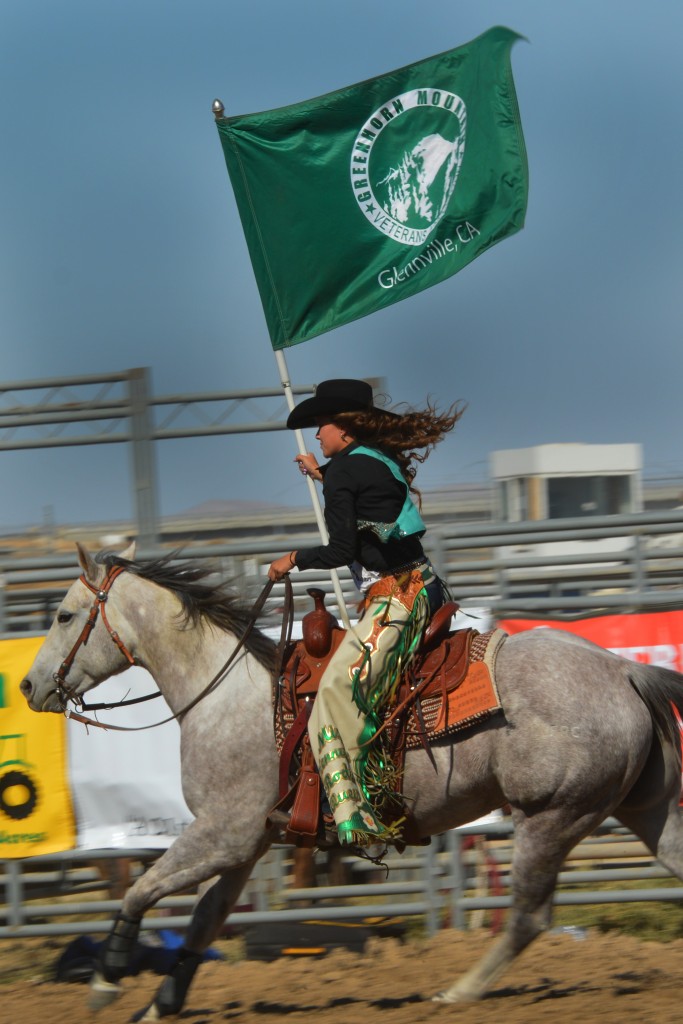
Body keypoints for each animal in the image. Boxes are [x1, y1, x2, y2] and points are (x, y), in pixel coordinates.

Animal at [20, 540, 683, 1019]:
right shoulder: (246, 844)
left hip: (551, 816)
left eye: (65, 614)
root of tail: (624, 671)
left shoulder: (224, 834)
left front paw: (107, 981)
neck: (226, 693)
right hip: (643, 808)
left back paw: (459, 993)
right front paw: (160, 1007)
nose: (28, 685)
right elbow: (204, 921)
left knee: (527, 915)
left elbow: (139, 891)